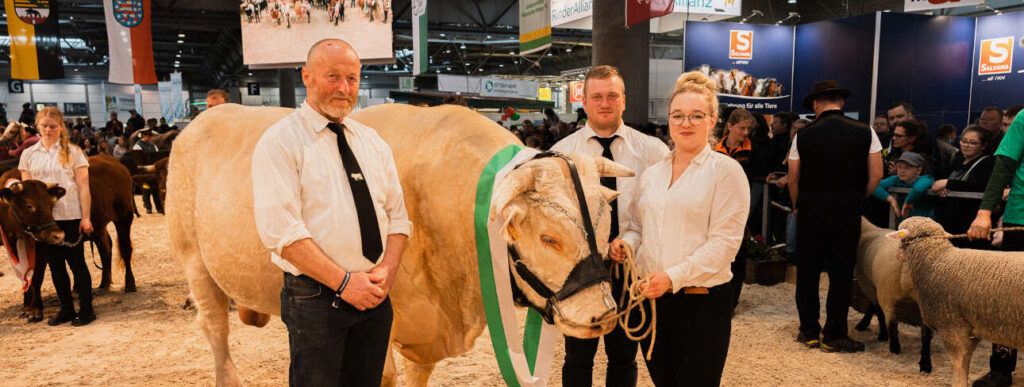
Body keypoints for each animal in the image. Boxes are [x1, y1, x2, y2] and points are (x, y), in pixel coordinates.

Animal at [166, 103, 630, 387]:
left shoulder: (427, 328)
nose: (603, 316)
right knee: (215, 328)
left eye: (605, 226)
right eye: (549, 237)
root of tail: (209, 115)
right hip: (194, 261)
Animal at [851, 218, 933, 372]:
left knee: (892, 322)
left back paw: (894, 346)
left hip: (887, 291)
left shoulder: (868, 283)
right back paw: (925, 363)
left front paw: (879, 332)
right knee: (926, 332)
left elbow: (877, 309)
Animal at [888, 218, 1024, 387]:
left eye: (901, 238)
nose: (897, 255)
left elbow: (958, 368)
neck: (937, 258)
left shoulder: (951, 326)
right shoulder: (971, 330)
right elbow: (965, 365)